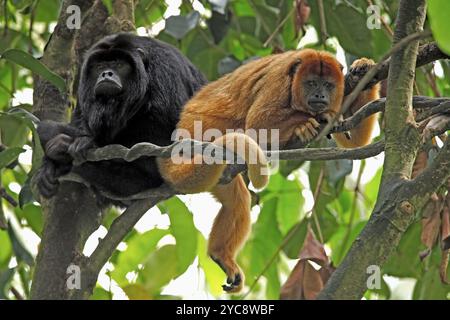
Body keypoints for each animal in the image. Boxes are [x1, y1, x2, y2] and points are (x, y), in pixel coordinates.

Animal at [156, 48, 378, 292]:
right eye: (311, 83)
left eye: (328, 85)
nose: (320, 96)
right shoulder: (278, 81)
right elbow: (258, 122)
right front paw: (315, 118)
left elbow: (355, 141)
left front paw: (363, 68)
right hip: (201, 131)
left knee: (236, 201)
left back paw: (220, 255)